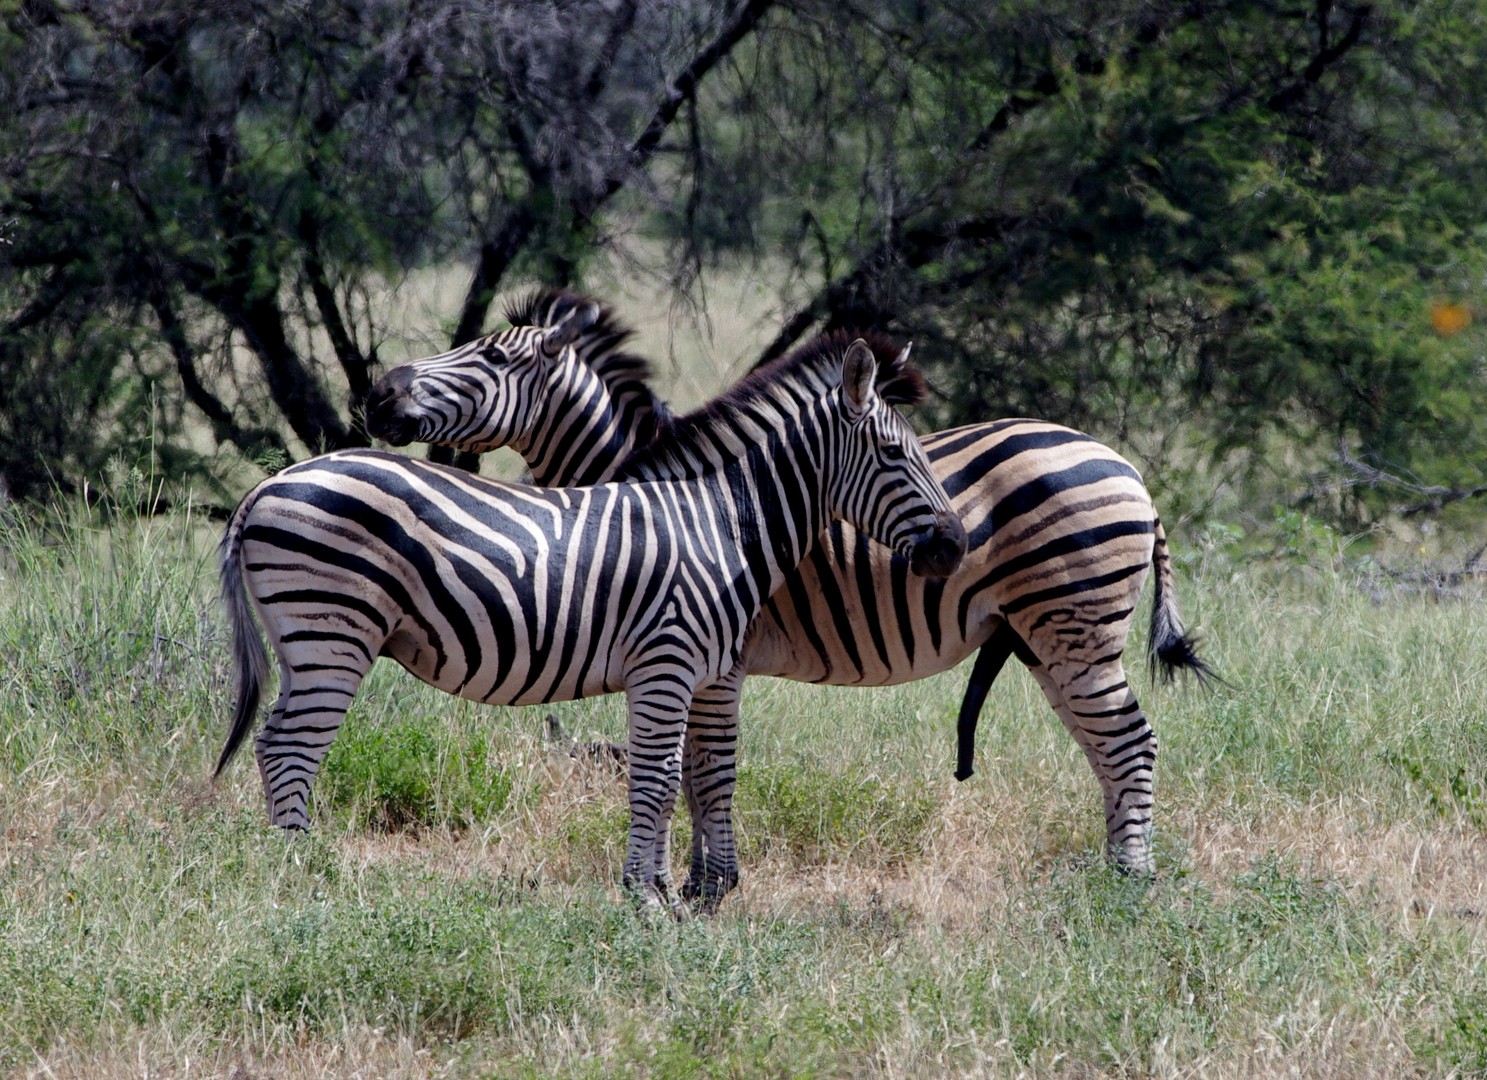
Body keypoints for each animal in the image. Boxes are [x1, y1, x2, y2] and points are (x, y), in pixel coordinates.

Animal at [216, 323, 967, 909]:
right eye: (897, 455)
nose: (955, 546)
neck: (721, 523)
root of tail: (269, 484)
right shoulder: (666, 661)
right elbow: (658, 778)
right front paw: (648, 897)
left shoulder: (700, 672)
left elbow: (691, 774)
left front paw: (671, 891)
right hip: (332, 632)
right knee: (291, 747)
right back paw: (303, 875)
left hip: (303, 638)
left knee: (272, 742)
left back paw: (287, 864)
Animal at [366, 290, 1212, 908]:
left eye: (486, 354)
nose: (378, 394)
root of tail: (1128, 470)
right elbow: (694, 769)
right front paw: (696, 884)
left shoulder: (716, 657)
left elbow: (701, 770)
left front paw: (703, 888)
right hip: (1049, 637)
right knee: (1106, 748)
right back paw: (1113, 870)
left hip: (1074, 624)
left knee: (1128, 743)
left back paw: (1132, 885)